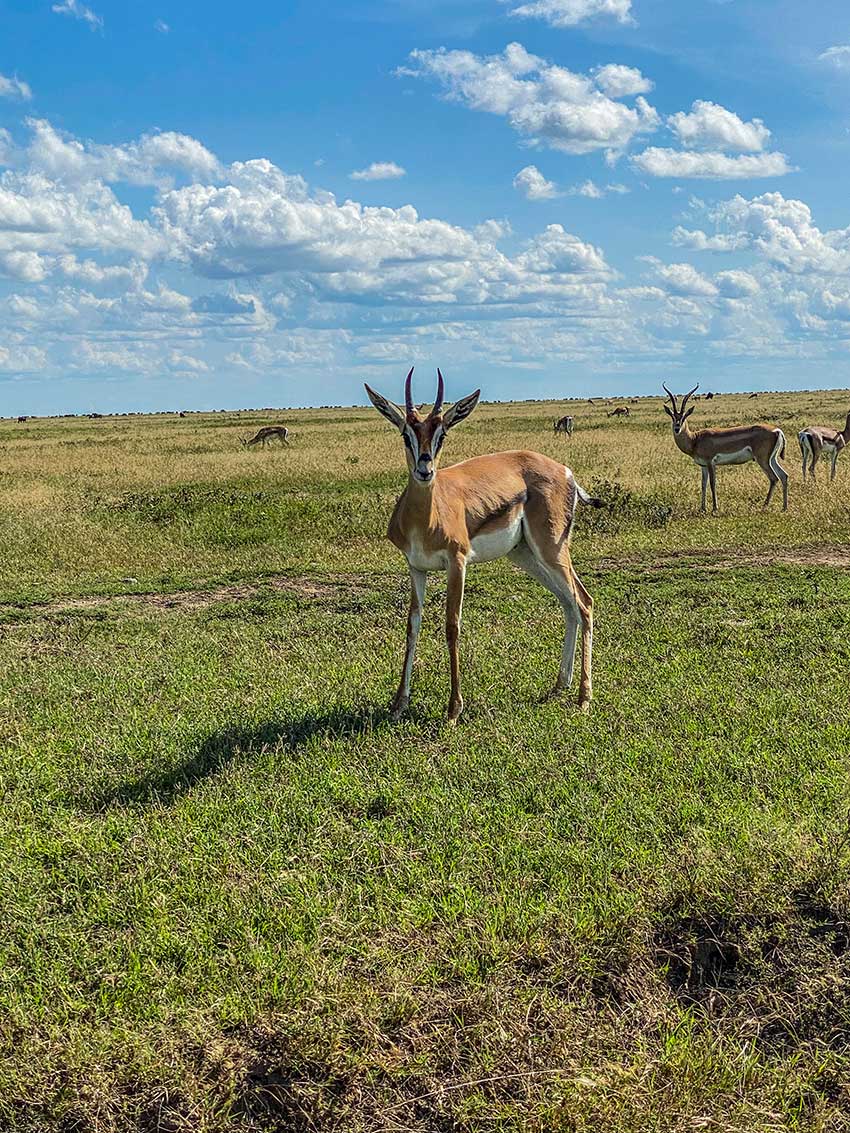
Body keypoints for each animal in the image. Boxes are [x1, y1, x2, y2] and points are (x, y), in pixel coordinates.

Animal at [364, 371, 598, 725]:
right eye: (406, 434)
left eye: (442, 434)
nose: (424, 470)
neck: (427, 516)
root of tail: (565, 471)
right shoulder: (416, 567)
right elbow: (412, 626)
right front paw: (399, 703)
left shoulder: (457, 562)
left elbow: (452, 625)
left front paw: (453, 709)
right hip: (527, 555)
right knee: (568, 604)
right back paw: (559, 686)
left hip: (551, 550)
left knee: (584, 602)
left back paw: (584, 698)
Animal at [666, 387, 793, 516]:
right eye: (672, 417)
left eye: (684, 417)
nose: (677, 428)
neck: (695, 439)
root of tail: (777, 431)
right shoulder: (703, 465)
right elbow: (703, 485)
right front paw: (702, 509)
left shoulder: (711, 463)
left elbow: (712, 483)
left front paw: (714, 509)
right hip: (772, 459)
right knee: (784, 476)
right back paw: (784, 507)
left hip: (762, 460)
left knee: (774, 478)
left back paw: (764, 506)